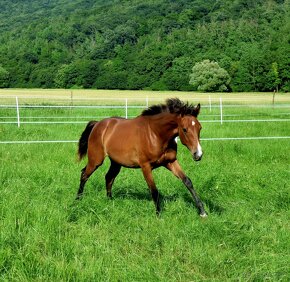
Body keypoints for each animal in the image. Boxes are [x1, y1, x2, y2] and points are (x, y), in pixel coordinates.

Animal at [76, 98, 207, 217]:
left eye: (200, 127)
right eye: (185, 129)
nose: (198, 154)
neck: (156, 134)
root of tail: (97, 124)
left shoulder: (170, 162)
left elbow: (187, 181)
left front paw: (202, 212)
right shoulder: (145, 166)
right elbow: (154, 190)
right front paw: (159, 215)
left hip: (116, 163)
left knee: (109, 177)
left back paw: (109, 200)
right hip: (96, 160)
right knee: (84, 174)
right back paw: (78, 200)